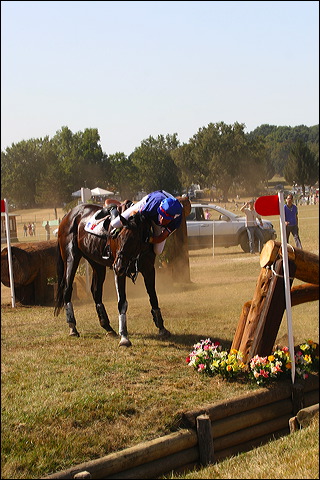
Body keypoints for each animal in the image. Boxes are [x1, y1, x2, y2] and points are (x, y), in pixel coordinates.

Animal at [53, 201, 171, 346]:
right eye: (117, 236)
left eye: (134, 240)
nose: (118, 266)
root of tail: (69, 215)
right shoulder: (119, 273)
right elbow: (122, 302)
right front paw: (124, 337)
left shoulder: (149, 269)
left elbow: (153, 297)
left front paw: (162, 328)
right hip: (71, 258)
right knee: (67, 289)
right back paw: (73, 327)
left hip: (97, 264)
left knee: (96, 291)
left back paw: (108, 327)